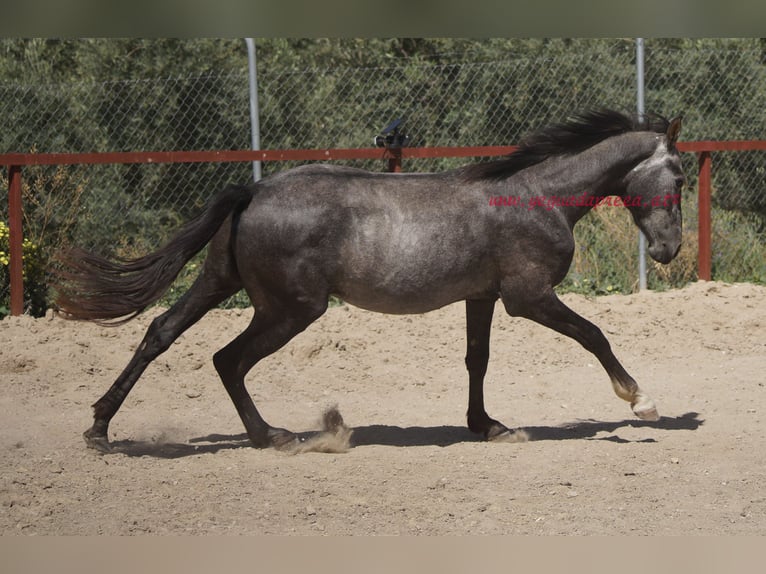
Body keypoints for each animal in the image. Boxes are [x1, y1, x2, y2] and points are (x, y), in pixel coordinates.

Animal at [55, 109, 688, 454]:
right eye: (679, 176)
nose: (669, 249)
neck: (538, 198)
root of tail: (253, 191)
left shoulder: (482, 297)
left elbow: (476, 360)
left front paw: (488, 426)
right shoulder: (528, 297)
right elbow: (594, 335)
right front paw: (643, 402)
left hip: (219, 283)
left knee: (160, 332)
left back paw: (99, 428)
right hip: (290, 309)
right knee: (227, 359)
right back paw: (277, 437)